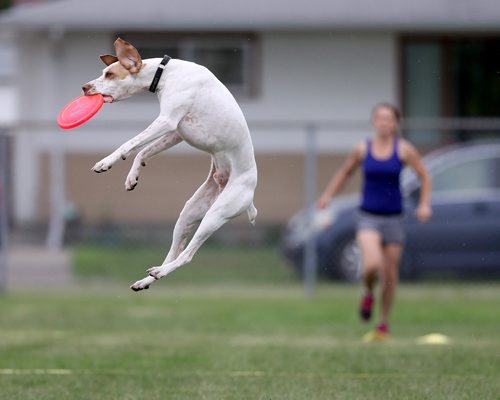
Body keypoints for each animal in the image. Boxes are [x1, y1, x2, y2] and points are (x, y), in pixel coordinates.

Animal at [82, 37, 258, 290]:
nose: (84, 87)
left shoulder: (166, 121)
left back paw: (159, 272)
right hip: (189, 214)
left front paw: (106, 162)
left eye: (109, 74)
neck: (164, 72)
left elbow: (129, 144)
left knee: (186, 255)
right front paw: (132, 176)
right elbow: (141, 151)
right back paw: (147, 279)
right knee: (174, 252)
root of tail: (251, 193)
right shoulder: (175, 132)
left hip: (216, 214)